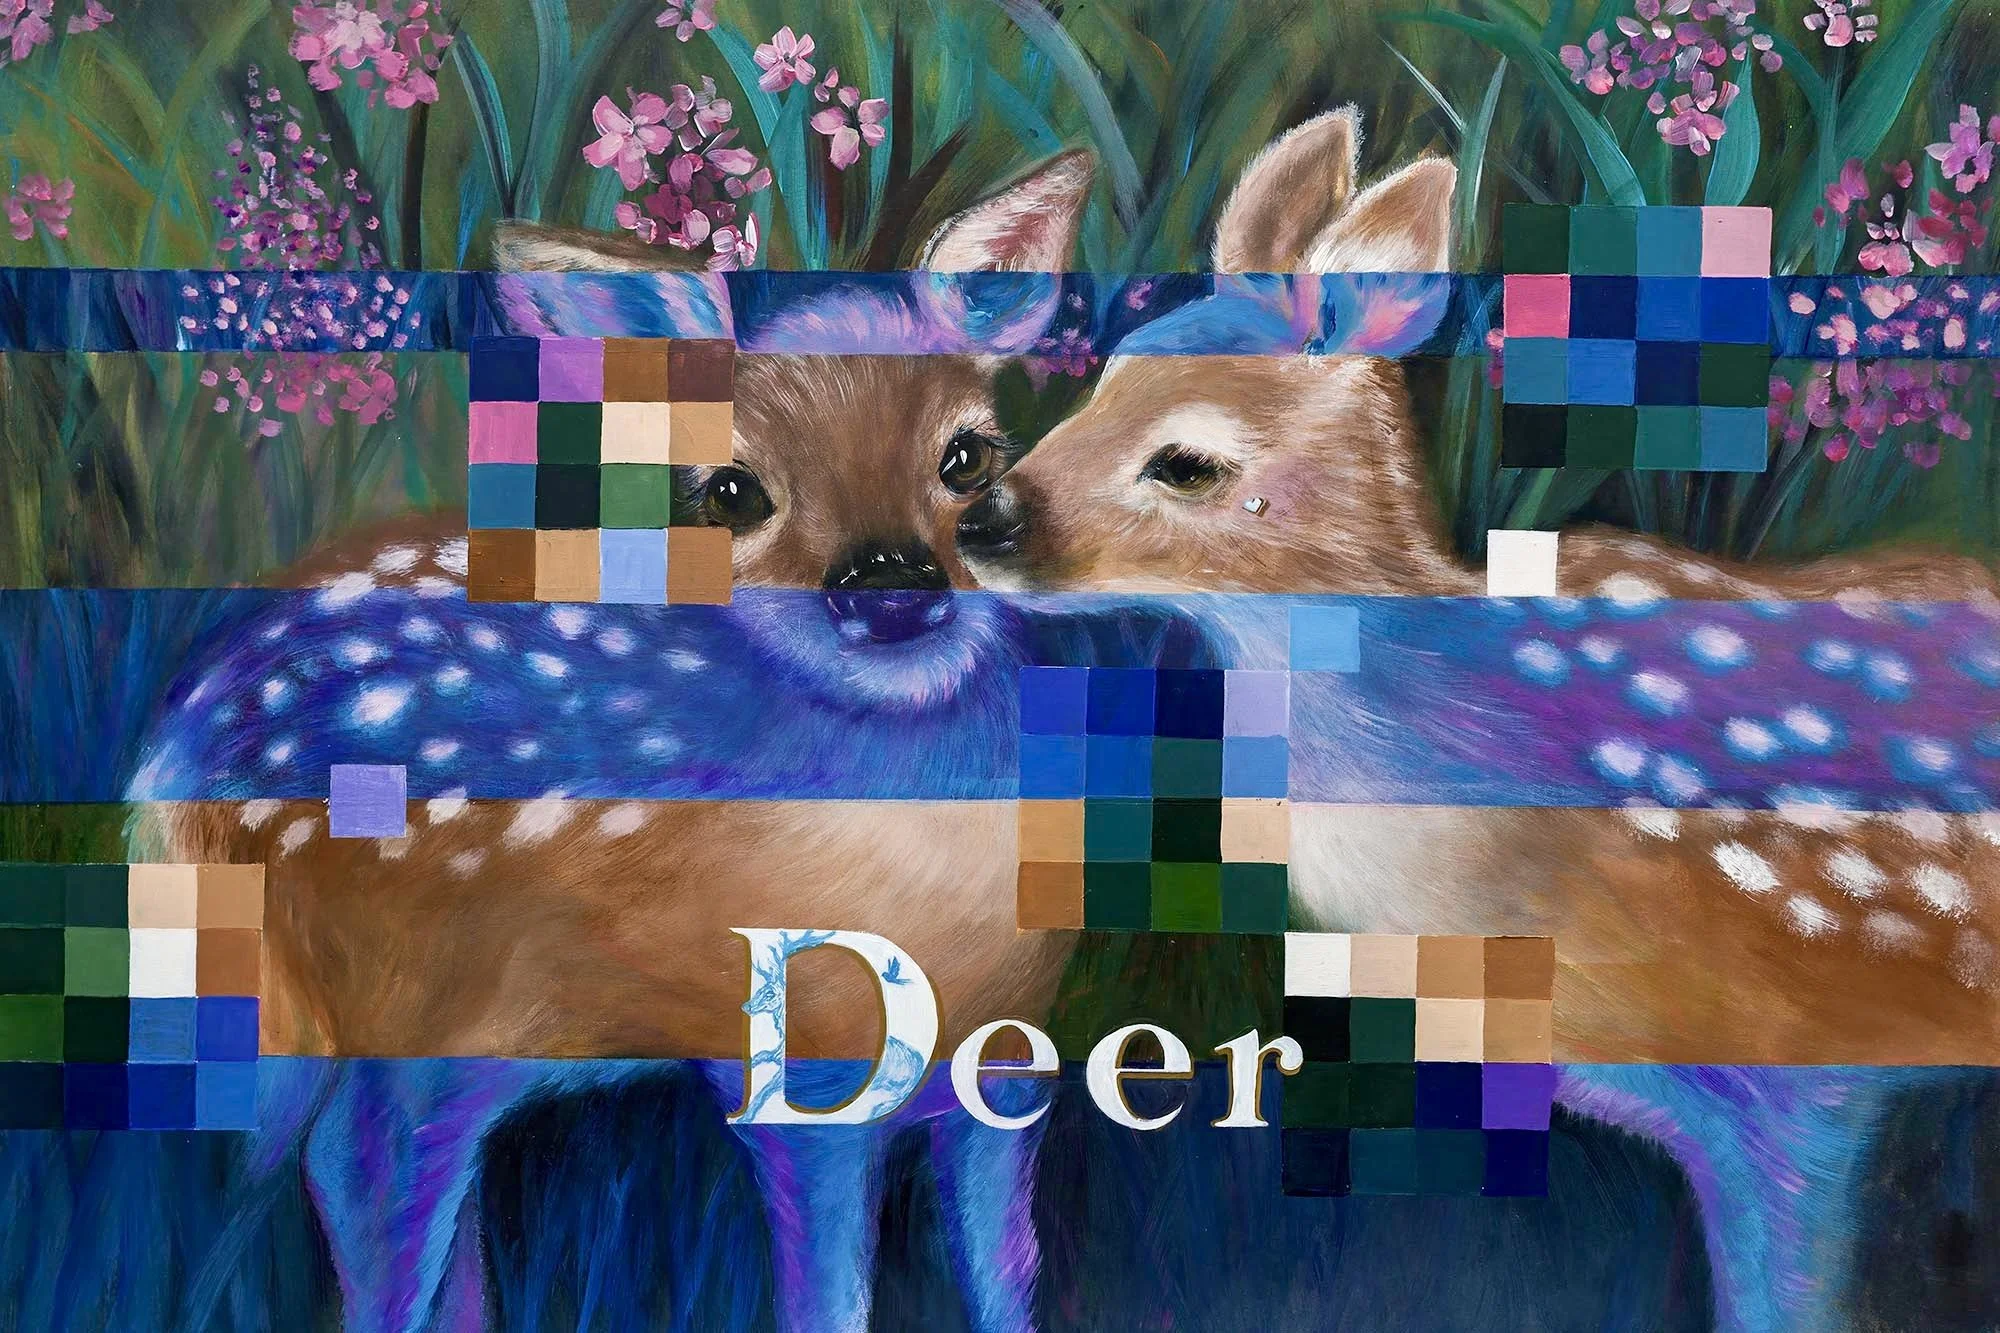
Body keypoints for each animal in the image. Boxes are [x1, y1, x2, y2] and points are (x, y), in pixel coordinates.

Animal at [126, 149, 1137, 1333]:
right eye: (733, 490)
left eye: (968, 457)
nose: (887, 578)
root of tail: (174, 755)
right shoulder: (787, 1068)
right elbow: (827, 1286)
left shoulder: (1008, 1047)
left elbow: (1004, 1268)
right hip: (398, 994)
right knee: (358, 1172)